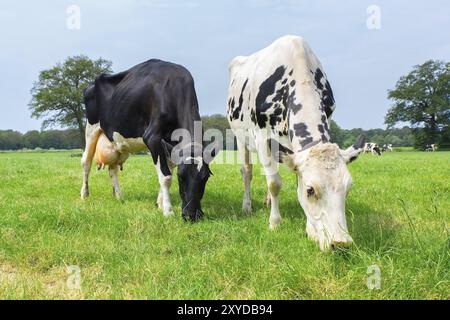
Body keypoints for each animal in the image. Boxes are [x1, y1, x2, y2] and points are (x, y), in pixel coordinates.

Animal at [80, 58, 214, 221]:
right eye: (181, 177)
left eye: (205, 177)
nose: (191, 215)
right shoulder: (152, 137)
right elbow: (166, 176)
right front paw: (168, 211)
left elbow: (168, 169)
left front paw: (159, 204)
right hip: (91, 129)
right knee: (86, 162)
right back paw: (84, 194)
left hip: (119, 143)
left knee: (113, 169)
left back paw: (118, 196)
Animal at [227, 35, 368, 250]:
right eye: (310, 190)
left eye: (348, 188)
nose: (340, 242)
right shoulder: (261, 137)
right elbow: (274, 183)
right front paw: (275, 222)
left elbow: (292, 181)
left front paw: (310, 229)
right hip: (241, 136)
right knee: (247, 171)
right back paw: (247, 206)